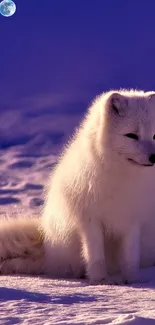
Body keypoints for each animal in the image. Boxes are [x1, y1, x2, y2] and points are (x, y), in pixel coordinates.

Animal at [0, 89, 155, 284]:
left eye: (154, 135)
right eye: (132, 135)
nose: (154, 157)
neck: (122, 177)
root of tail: (46, 243)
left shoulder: (132, 220)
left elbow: (130, 257)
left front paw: (131, 280)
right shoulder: (90, 220)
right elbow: (95, 256)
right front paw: (101, 281)